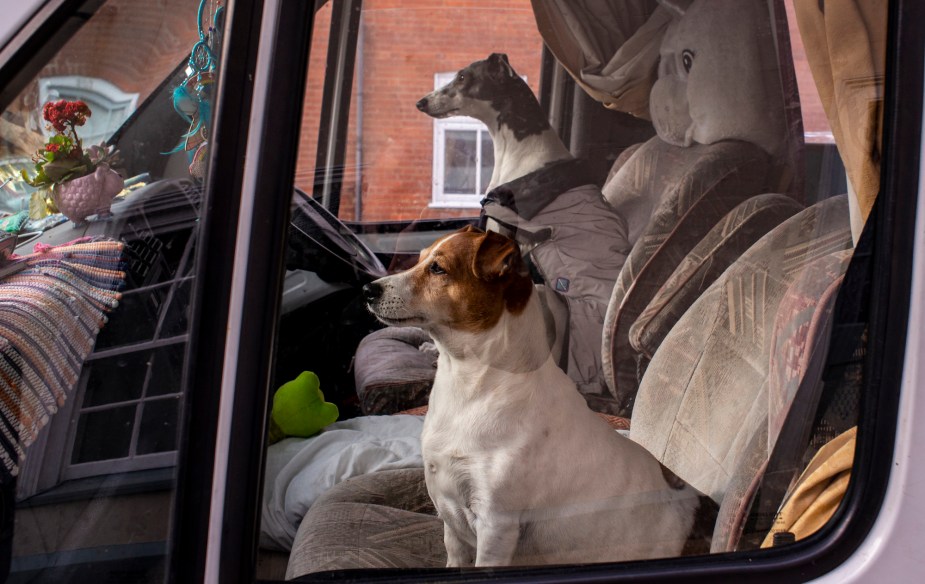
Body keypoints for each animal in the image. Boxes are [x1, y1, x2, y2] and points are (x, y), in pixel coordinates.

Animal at [362, 227, 716, 564]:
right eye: (420, 258)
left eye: (437, 268)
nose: (367, 289)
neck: (473, 387)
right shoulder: (451, 517)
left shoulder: (496, 524)